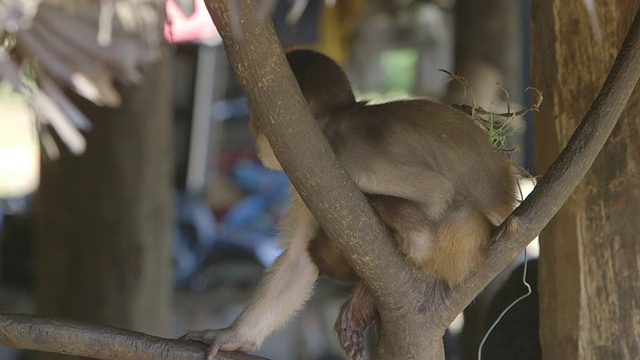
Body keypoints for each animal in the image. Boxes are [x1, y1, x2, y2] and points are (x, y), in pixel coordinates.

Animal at [179, 48, 516, 360]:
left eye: (255, 111)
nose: (251, 126)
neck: (333, 123)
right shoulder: (312, 174)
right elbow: (298, 259)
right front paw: (231, 337)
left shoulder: (347, 156)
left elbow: (435, 202)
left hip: (463, 245)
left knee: (445, 216)